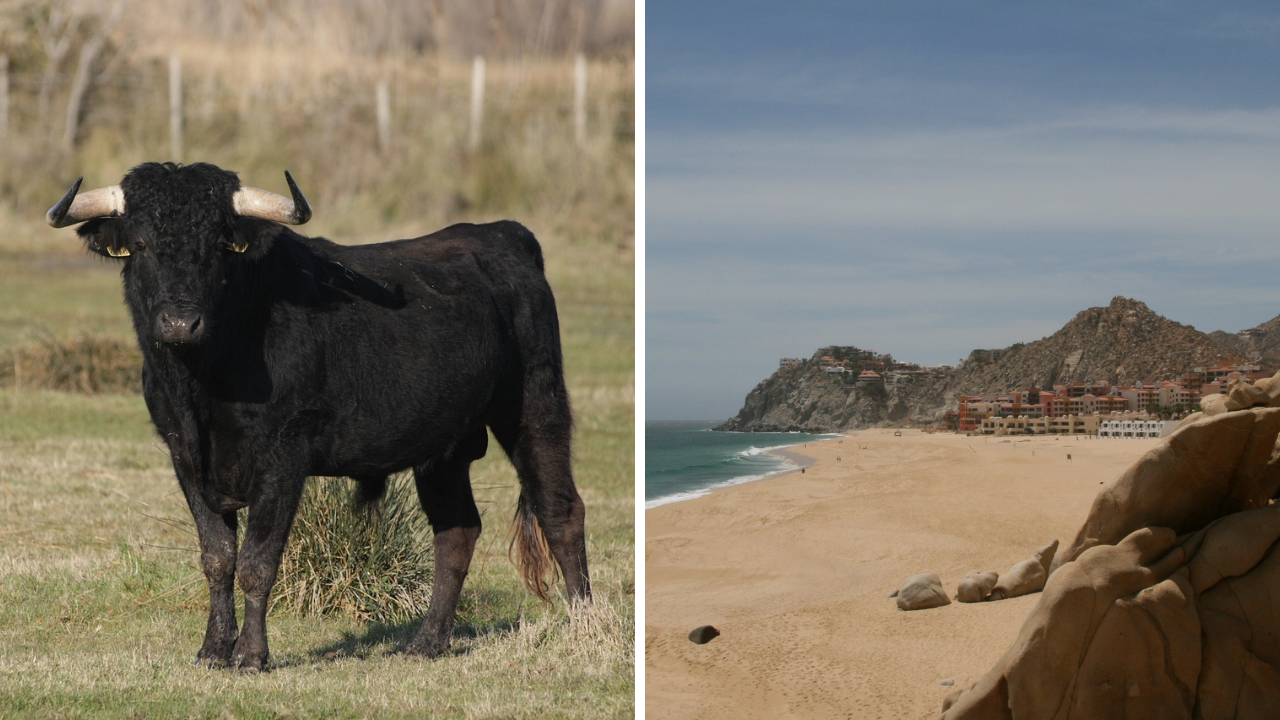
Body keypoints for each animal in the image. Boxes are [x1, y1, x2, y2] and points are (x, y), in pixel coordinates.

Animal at [45, 161, 591, 666]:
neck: (202, 381)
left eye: (219, 246)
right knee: (456, 531)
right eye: (140, 244)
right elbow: (217, 558)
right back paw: (426, 643)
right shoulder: (185, 455)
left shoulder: (283, 455)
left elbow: (257, 561)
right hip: (445, 448)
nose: (180, 323)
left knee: (561, 511)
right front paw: (212, 650)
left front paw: (250, 655)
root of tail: (503, 234)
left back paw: (584, 628)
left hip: (535, 408)